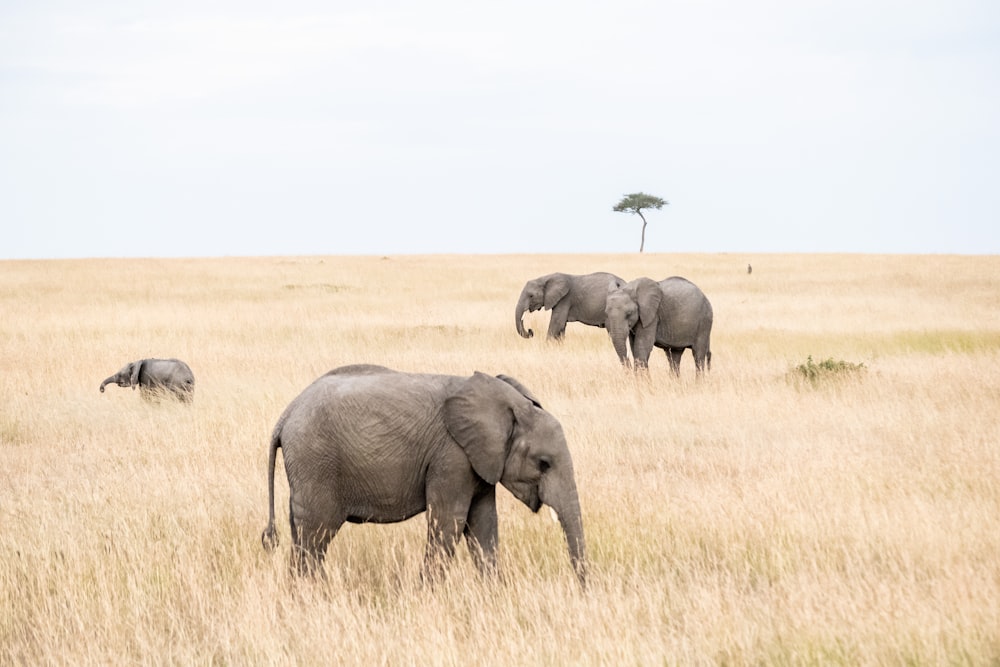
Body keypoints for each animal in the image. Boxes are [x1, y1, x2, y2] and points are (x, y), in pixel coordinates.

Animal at [262, 362, 584, 588]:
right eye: (544, 463)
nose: (583, 590)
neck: (507, 403)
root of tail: (285, 415)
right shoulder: (452, 456)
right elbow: (450, 522)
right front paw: (427, 596)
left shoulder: (480, 461)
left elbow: (484, 524)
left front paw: (495, 594)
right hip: (315, 464)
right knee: (316, 535)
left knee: (303, 535)